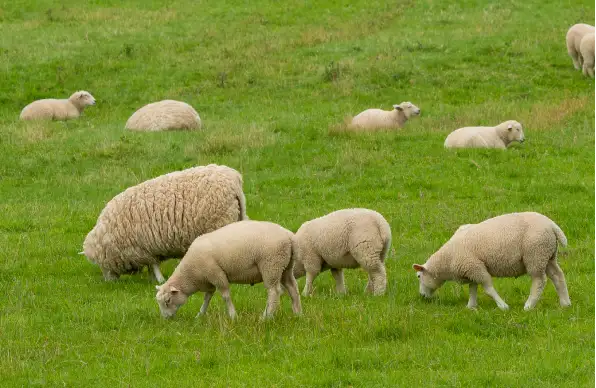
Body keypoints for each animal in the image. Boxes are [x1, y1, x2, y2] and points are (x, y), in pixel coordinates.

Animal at [80, 162, 246, 284]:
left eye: (99, 263)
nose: (109, 282)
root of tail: (234, 180)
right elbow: (152, 266)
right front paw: (152, 279)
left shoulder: (143, 248)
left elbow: (154, 265)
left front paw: (159, 280)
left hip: (220, 223)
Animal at [155, 220, 302, 320]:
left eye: (167, 301)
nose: (166, 319)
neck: (190, 275)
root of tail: (289, 236)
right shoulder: (209, 280)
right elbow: (207, 298)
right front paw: (200, 315)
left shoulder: (216, 274)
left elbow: (225, 296)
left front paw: (233, 316)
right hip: (285, 267)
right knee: (293, 288)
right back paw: (298, 313)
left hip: (271, 265)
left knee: (274, 291)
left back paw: (266, 317)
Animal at [412, 211, 572, 310]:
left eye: (419, 276)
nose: (422, 296)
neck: (447, 260)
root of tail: (552, 225)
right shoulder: (471, 269)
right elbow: (472, 288)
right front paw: (471, 306)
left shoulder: (474, 267)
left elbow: (488, 289)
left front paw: (503, 306)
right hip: (548, 255)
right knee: (558, 276)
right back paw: (565, 303)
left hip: (535, 254)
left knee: (539, 281)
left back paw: (528, 306)